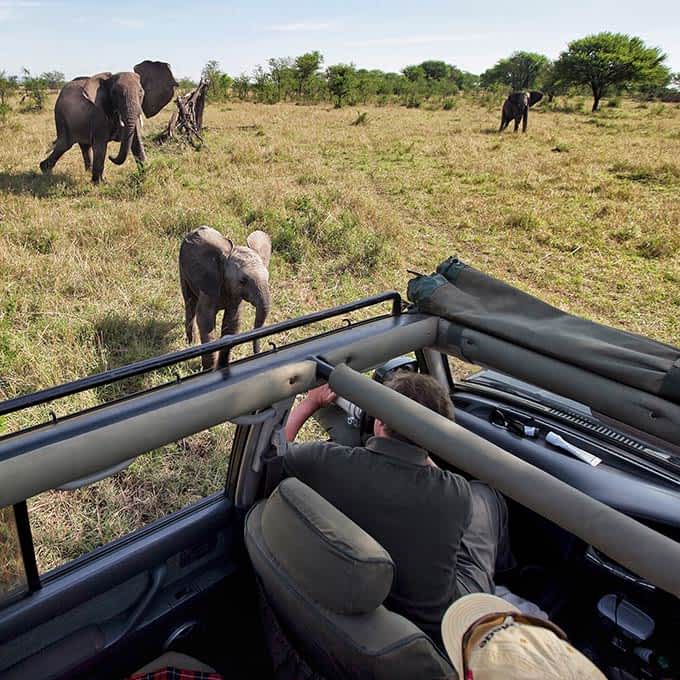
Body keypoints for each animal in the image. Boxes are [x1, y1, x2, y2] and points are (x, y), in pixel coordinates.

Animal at [38, 60, 178, 182]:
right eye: (114, 93)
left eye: (141, 93)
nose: (112, 156)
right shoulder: (99, 114)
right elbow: (100, 146)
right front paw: (100, 183)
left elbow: (136, 143)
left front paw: (144, 177)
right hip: (60, 116)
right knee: (64, 144)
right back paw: (45, 170)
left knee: (83, 146)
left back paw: (85, 172)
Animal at [179, 226, 272, 370]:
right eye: (242, 281)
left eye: (268, 277)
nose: (261, 351)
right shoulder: (210, 283)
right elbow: (206, 321)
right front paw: (209, 369)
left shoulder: (235, 295)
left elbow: (232, 322)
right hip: (183, 269)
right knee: (190, 303)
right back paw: (191, 343)